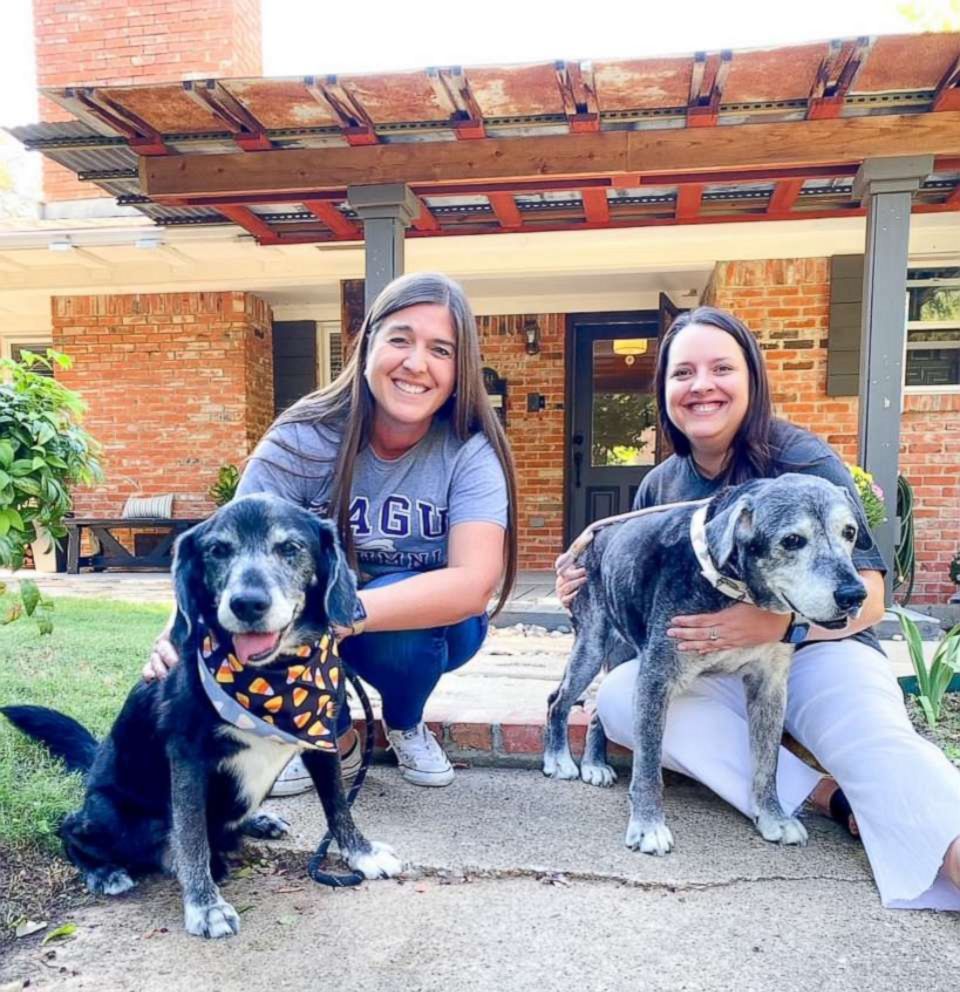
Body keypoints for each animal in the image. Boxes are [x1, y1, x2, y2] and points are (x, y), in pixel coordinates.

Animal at [3, 494, 402, 936]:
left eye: (290, 548)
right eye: (217, 550)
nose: (247, 604)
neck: (272, 678)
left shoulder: (321, 737)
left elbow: (337, 804)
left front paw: (361, 852)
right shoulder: (188, 759)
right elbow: (192, 836)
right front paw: (205, 906)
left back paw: (257, 819)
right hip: (114, 818)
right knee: (71, 827)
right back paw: (104, 871)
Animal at [540, 472, 872, 852]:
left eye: (849, 532)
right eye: (792, 540)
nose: (854, 595)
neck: (732, 587)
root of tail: (596, 537)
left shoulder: (770, 685)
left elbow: (767, 761)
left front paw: (773, 817)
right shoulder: (656, 680)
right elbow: (648, 762)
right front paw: (648, 826)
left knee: (598, 708)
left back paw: (595, 763)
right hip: (592, 646)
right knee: (558, 700)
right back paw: (559, 759)